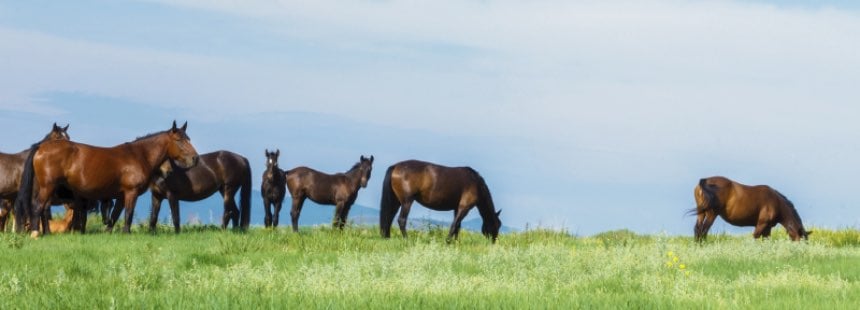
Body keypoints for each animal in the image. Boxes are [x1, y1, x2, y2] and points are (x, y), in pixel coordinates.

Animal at [17, 121, 199, 237]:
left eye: (189, 139)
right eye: (179, 140)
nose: (195, 158)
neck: (138, 156)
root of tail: (41, 147)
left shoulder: (120, 196)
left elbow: (115, 215)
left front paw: (108, 233)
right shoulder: (131, 192)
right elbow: (128, 214)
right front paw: (126, 233)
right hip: (47, 187)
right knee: (37, 207)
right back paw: (36, 233)